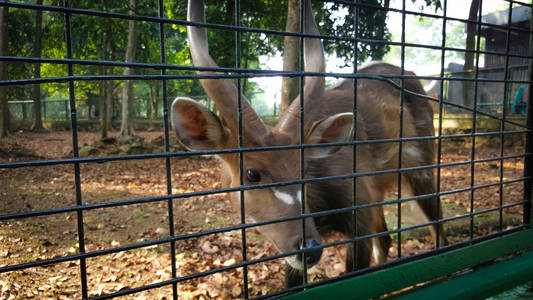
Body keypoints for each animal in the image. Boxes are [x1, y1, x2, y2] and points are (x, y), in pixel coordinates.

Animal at [171, 0, 444, 286]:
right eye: (251, 173)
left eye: (303, 169)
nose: (310, 249)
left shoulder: (359, 221)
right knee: (386, 239)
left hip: (422, 173)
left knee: (438, 234)